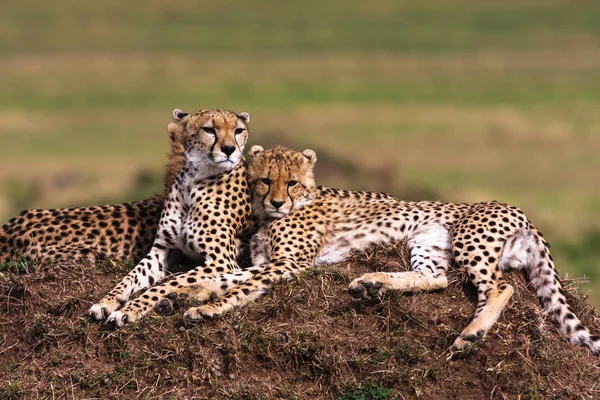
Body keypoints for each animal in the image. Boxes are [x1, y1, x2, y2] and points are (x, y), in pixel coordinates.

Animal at [89, 107, 255, 324]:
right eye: (209, 130)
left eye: (238, 130)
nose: (229, 149)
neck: (195, 180)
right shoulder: (162, 249)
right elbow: (130, 277)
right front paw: (106, 302)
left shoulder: (221, 261)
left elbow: (169, 283)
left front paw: (130, 309)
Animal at [143, 146, 596, 356]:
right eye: (264, 180)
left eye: (291, 183)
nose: (276, 202)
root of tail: (522, 214)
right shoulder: (271, 261)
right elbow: (228, 275)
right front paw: (187, 294)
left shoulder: (290, 263)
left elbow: (238, 285)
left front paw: (205, 308)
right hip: (425, 242)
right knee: (435, 279)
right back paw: (372, 284)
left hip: (471, 239)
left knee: (501, 287)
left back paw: (472, 333)